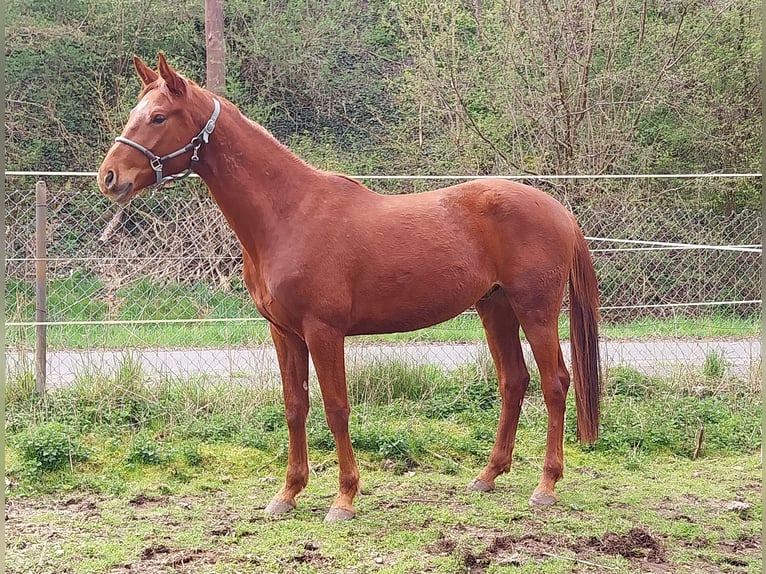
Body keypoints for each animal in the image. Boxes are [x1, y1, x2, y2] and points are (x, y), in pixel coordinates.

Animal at [98, 53, 601, 522]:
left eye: (158, 117)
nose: (109, 177)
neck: (289, 214)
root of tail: (558, 209)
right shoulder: (285, 333)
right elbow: (294, 406)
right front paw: (288, 493)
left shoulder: (324, 332)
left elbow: (336, 408)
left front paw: (344, 498)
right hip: (494, 308)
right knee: (513, 381)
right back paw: (488, 475)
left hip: (535, 311)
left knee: (556, 383)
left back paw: (546, 485)